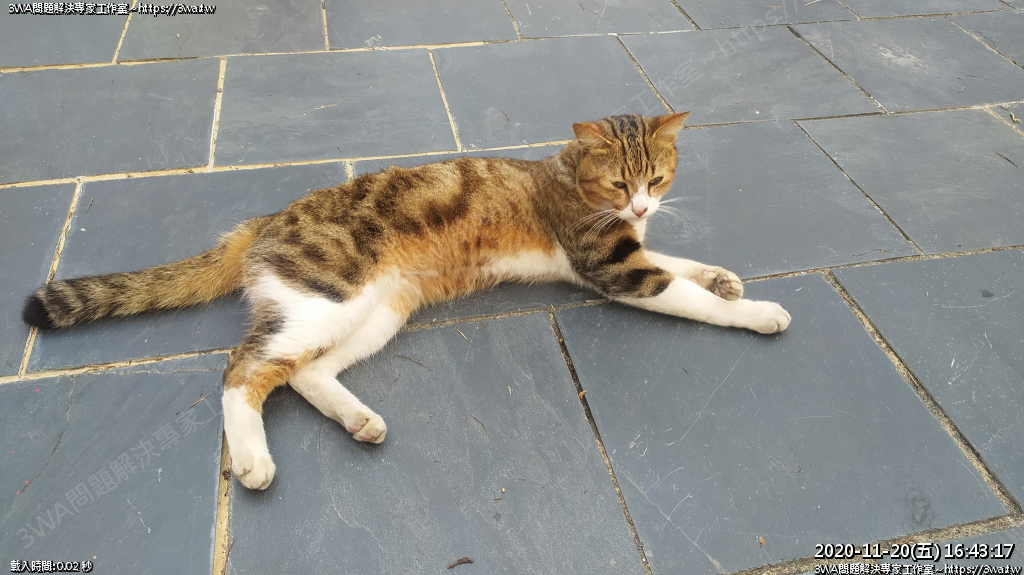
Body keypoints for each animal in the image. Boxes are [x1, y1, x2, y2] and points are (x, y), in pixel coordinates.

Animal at [22, 112, 791, 490]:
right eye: (619, 182)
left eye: (657, 178)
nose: (640, 204)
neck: (571, 176)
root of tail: (266, 220)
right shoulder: (607, 266)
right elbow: (678, 289)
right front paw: (754, 310)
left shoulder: (615, 255)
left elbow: (679, 264)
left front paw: (723, 274)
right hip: (328, 296)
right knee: (242, 369)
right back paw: (253, 461)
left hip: (378, 310)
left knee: (302, 372)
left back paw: (359, 420)